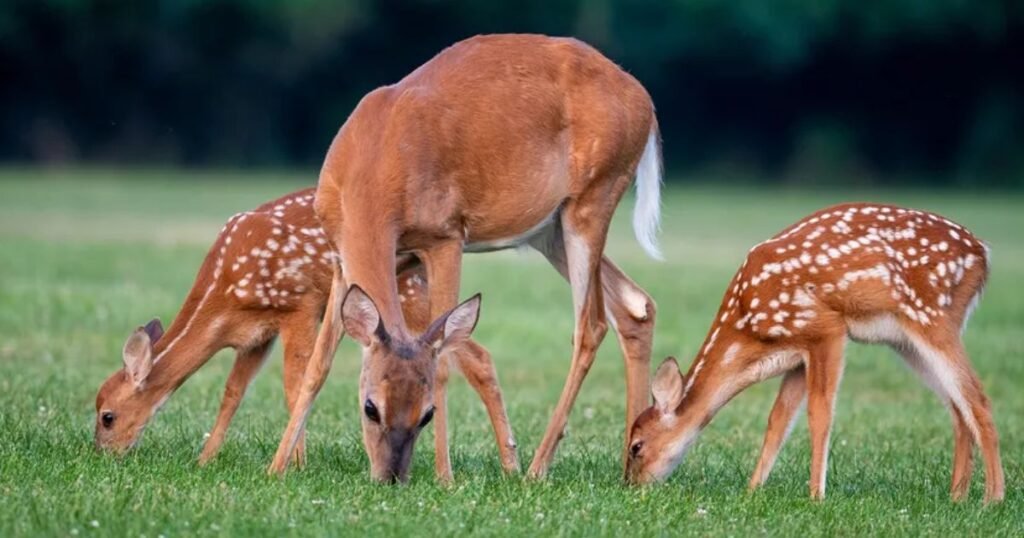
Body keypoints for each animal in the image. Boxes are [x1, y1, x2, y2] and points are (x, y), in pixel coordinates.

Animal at [94, 188, 520, 475]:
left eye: (107, 416)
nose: (102, 455)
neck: (224, 290)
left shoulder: (297, 305)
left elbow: (294, 383)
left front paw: (296, 464)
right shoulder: (255, 335)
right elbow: (233, 392)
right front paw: (205, 459)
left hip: (409, 296)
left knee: (477, 356)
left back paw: (511, 465)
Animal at [268, 34, 662, 482]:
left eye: (426, 414)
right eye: (370, 407)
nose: (390, 477)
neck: (374, 168)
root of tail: (645, 102)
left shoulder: (445, 236)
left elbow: (442, 361)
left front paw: (445, 478)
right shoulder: (342, 260)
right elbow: (318, 366)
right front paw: (276, 467)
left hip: (592, 200)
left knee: (591, 324)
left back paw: (538, 467)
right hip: (550, 230)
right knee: (634, 305)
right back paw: (630, 469)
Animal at [624, 202, 1004, 503]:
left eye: (636, 446)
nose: (630, 487)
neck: (748, 329)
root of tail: (983, 254)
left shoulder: (825, 328)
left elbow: (820, 414)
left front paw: (815, 496)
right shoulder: (797, 355)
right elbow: (777, 420)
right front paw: (753, 489)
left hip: (932, 316)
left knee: (977, 398)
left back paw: (992, 498)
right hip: (906, 341)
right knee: (957, 406)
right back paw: (957, 497)